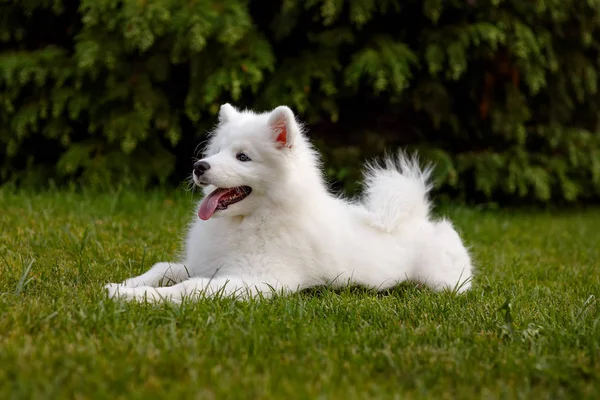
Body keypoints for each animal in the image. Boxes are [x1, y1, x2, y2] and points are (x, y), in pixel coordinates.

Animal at [106, 104, 474, 302]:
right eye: (216, 152)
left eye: (243, 157)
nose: (199, 167)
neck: (252, 221)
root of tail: (418, 216)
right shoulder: (208, 263)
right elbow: (163, 269)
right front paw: (124, 285)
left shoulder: (257, 280)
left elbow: (189, 288)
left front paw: (137, 298)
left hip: (442, 281)